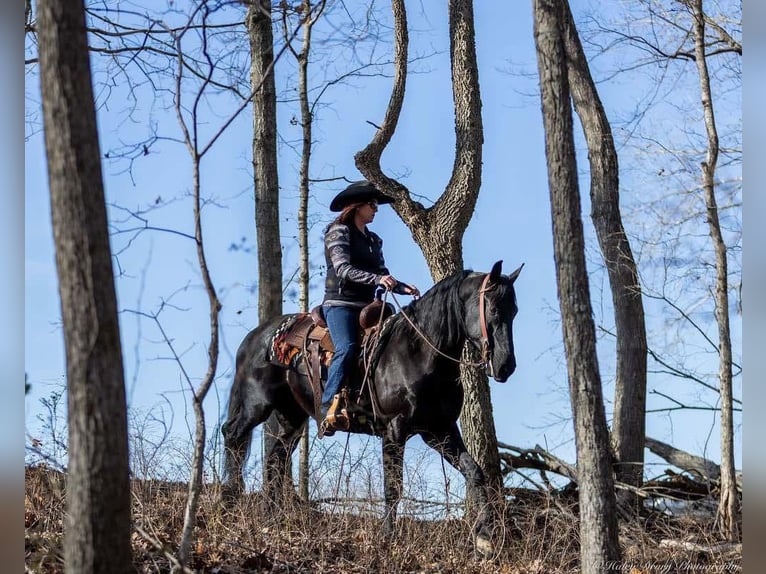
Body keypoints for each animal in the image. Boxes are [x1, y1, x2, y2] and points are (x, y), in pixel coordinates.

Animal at [220, 260, 520, 552]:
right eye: (493, 308)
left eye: (514, 311)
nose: (506, 366)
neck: (420, 352)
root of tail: (254, 338)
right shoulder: (395, 430)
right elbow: (393, 488)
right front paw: (387, 537)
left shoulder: (439, 430)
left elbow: (475, 471)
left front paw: (485, 538)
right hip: (256, 404)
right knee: (233, 435)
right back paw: (228, 504)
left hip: (292, 417)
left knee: (275, 459)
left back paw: (271, 519)